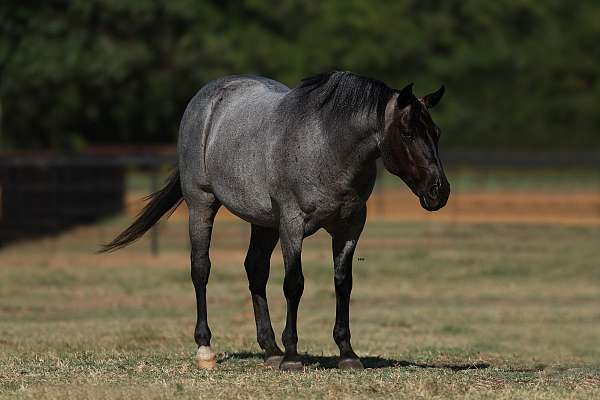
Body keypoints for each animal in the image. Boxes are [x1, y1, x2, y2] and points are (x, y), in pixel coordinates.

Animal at [104, 72, 450, 372]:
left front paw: (347, 353)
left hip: (264, 223)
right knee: (200, 269)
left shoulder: (349, 227)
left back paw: (270, 349)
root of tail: (207, 96)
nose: (440, 191)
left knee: (255, 270)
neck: (327, 146)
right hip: (201, 204)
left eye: (436, 133)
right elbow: (294, 284)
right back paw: (206, 350)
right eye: (408, 133)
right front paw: (293, 356)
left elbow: (343, 284)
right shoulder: (292, 224)